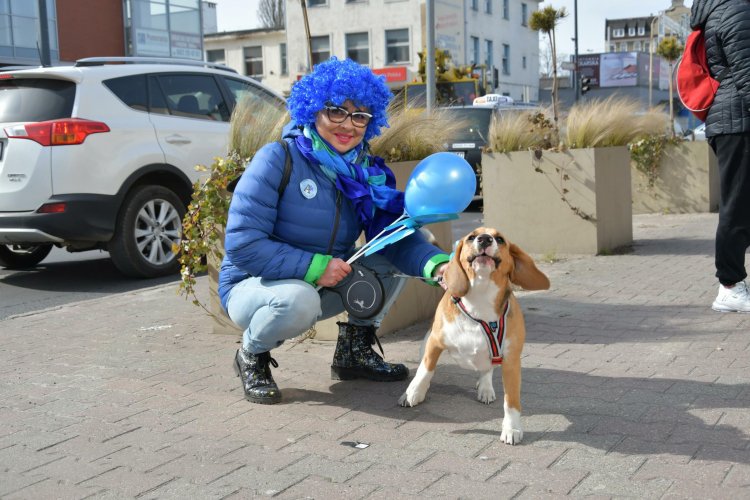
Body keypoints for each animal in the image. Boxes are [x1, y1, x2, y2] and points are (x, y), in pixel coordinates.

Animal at [400, 228, 552, 446]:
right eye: (471, 237)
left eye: (500, 239)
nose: (484, 239)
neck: (480, 298)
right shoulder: (434, 343)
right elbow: (425, 370)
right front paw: (414, 392)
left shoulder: (511, 361)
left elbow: (511, 401)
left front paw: (512, 428)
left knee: (486, 370)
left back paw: (486, 388)